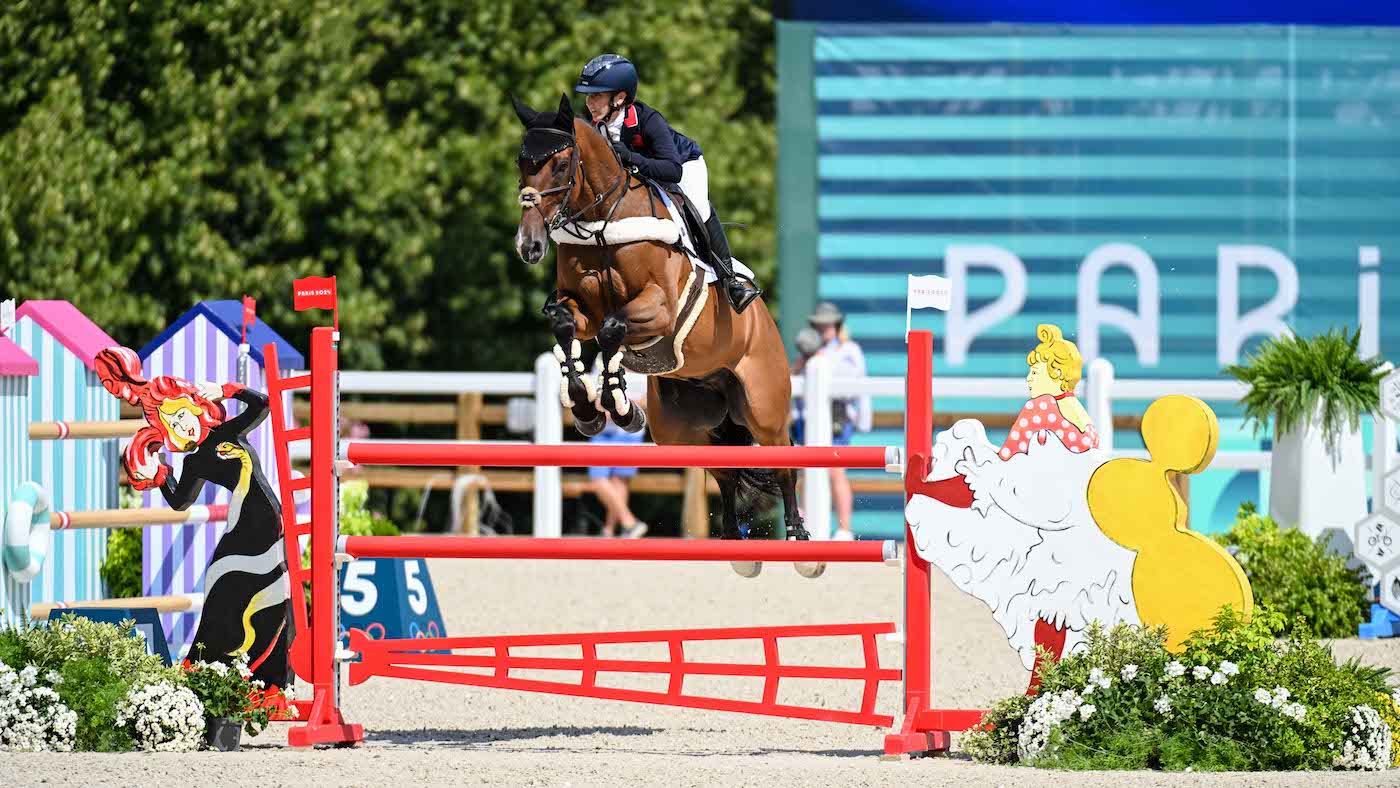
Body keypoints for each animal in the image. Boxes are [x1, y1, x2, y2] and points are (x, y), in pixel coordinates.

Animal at [512, 92, 817, 576]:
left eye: (559, 165)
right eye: (522, 163)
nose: (530, 246)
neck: (602, 224)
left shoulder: (660, 310)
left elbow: (615, 329)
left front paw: (616, 403)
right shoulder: (581, 312)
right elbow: (567, 326)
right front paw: (590, 408)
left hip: (762, 404)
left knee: (782, 458)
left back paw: (800, 542)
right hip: (681, 428)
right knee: (724, 468)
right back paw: (735, 545)